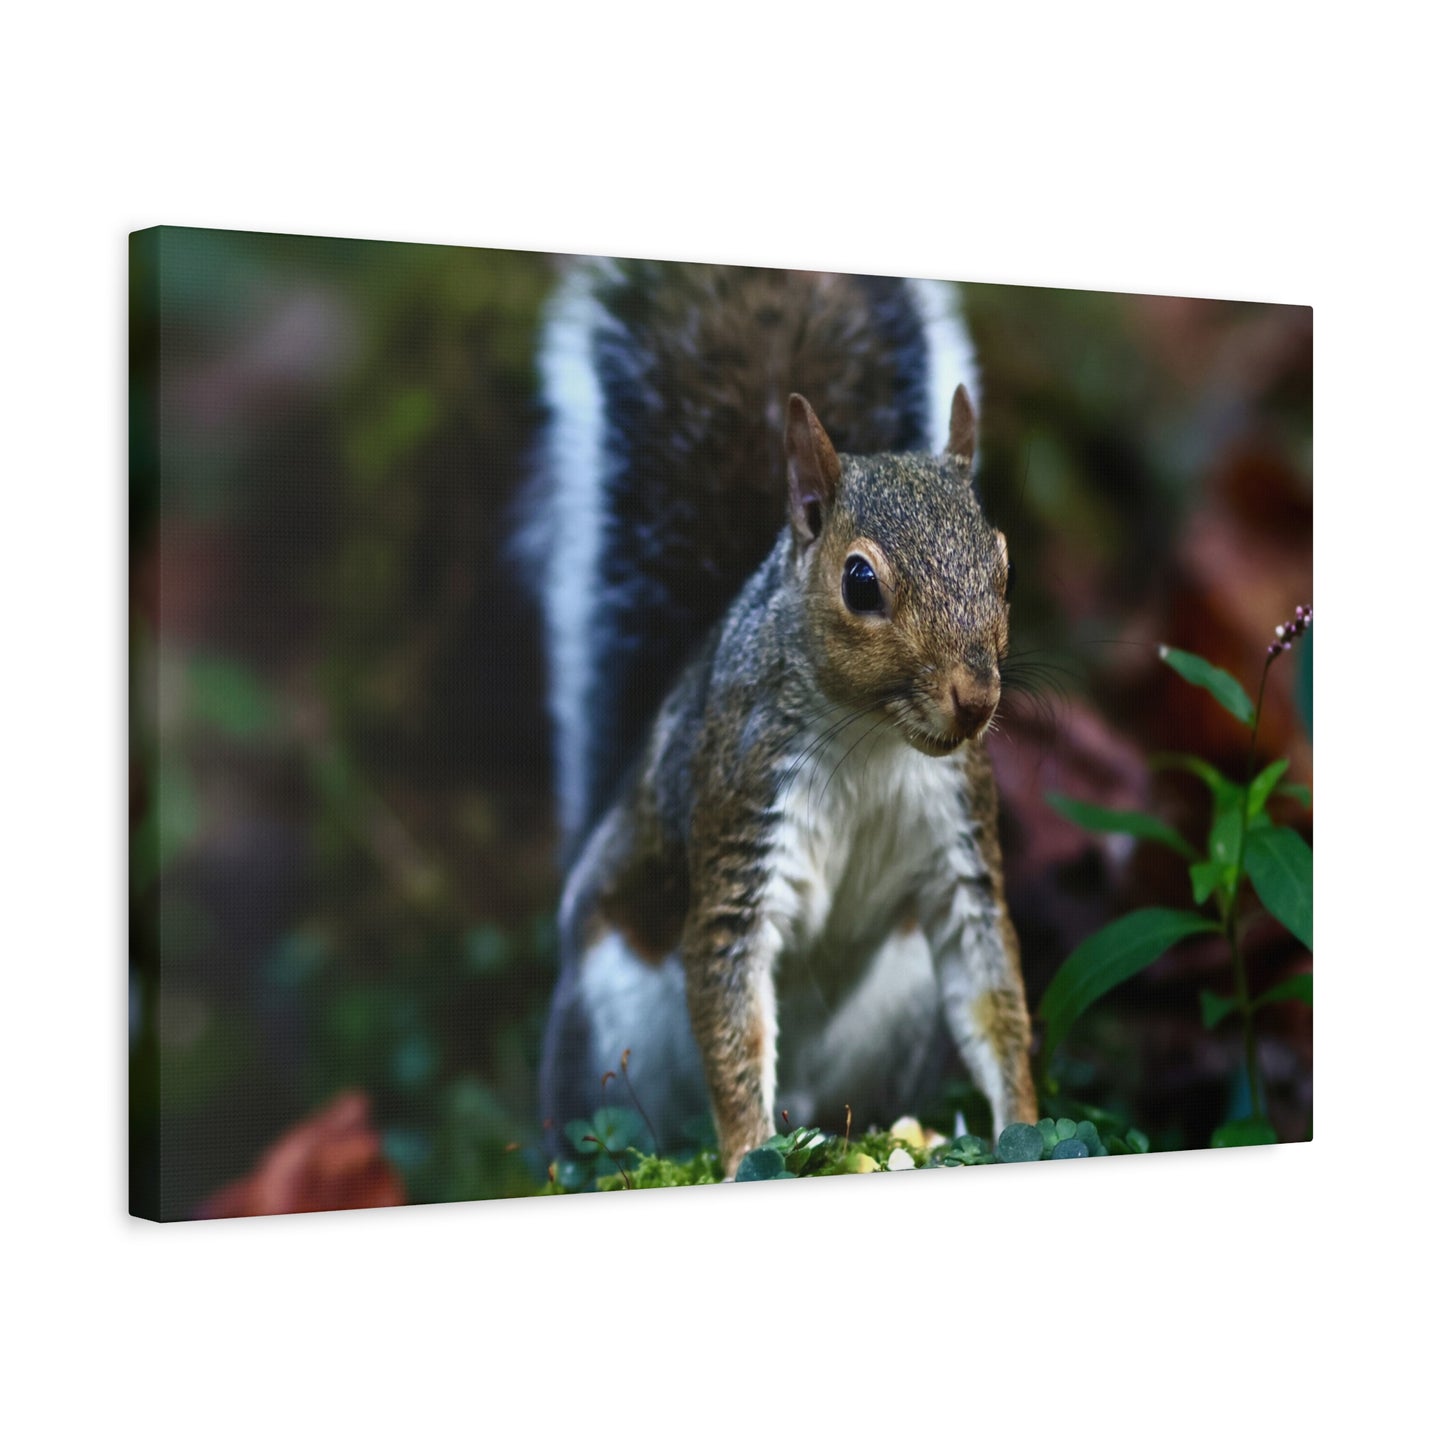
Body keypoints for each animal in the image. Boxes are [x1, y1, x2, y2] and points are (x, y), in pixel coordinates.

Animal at [528, 259, 1037, 1177]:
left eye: (1005, 569)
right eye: (859, 582)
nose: (975, 698)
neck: (872, 738)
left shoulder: (958, 839)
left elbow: (992, 995)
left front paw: (1021, 1121)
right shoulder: (742, 811)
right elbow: (731, 1008)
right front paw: (744, 1153)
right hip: (606, 1019)